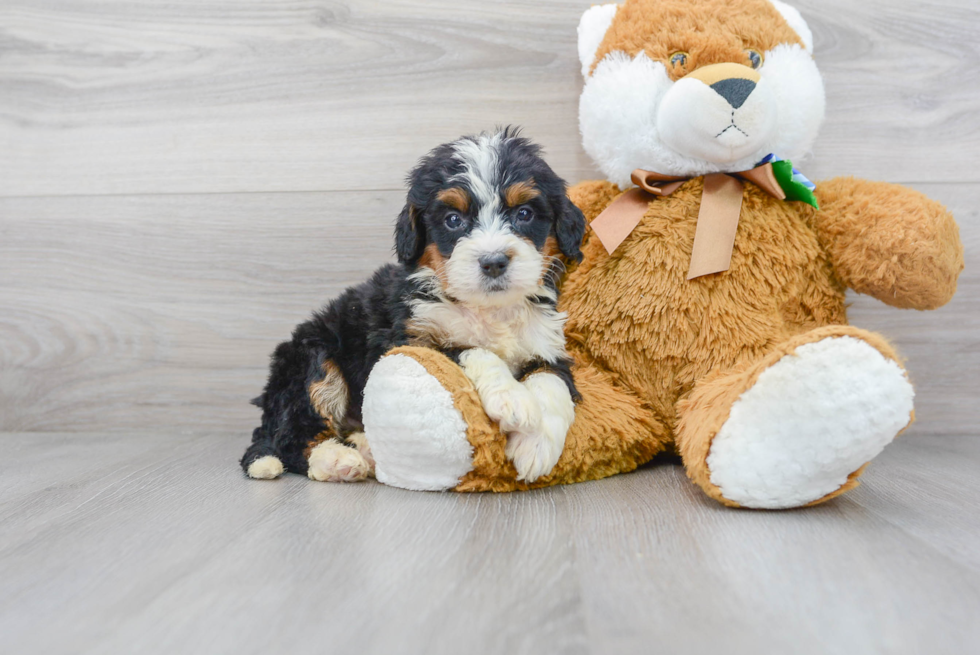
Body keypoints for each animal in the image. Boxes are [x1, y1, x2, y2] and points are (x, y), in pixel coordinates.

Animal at [240, 129, 584, 486]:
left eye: (524, 214)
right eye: (453, 220)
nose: (493, 262)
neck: (488, 308)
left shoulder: (546, 344)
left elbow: (552, 380)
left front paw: (536, 445)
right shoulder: (408, 339)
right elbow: (470, 350)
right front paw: (512, 398)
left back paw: (364, 447)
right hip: (312, 361)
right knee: (294, 437)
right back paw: (338, 459)